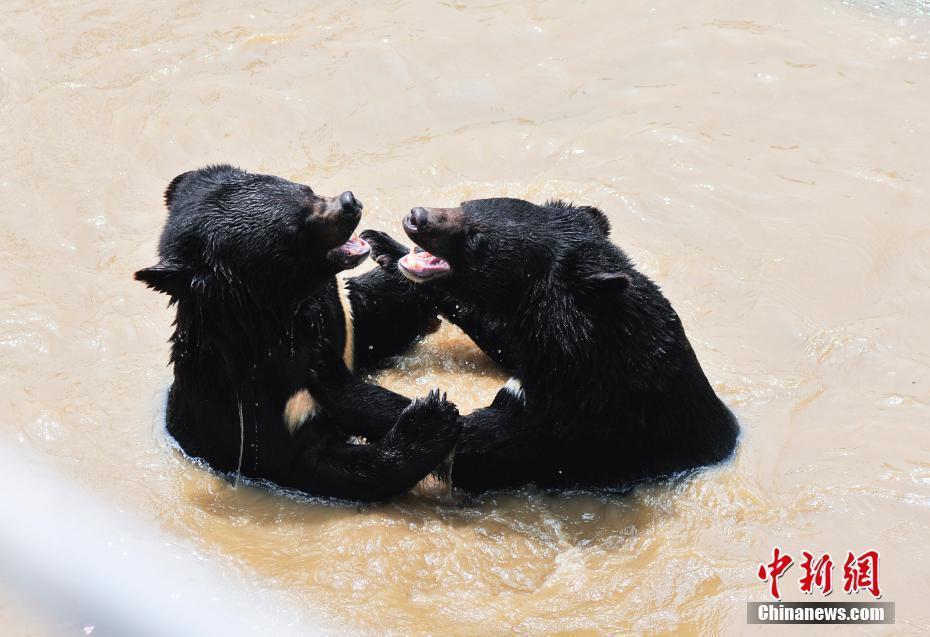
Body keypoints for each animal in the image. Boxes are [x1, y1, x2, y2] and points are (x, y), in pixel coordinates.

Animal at [137, 165, 456, 502]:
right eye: (297, 226)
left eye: (307, 189)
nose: (349, 202)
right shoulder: (256, 412)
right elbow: (316, 466)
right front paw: (429, 417)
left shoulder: (342, 316)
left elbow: (374, 312)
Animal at [358, 199, 736, 492]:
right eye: (465, 204)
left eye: (477, 238)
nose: (416, 216)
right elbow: (501, 340)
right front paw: (383, 246)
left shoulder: (584, 418)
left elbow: (478, 445)